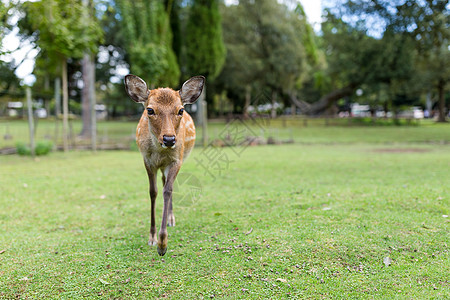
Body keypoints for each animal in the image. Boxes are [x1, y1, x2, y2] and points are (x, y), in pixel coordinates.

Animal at [125, 73, 206, 255]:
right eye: (150, 110)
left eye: (180, 110)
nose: (169, 139)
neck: (160, 152)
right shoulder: (147, 160)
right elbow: (153, 192)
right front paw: (152, 238)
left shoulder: (177, 160)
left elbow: (168, 191)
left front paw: (162, 244)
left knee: (168, 185)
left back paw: (171, 219)